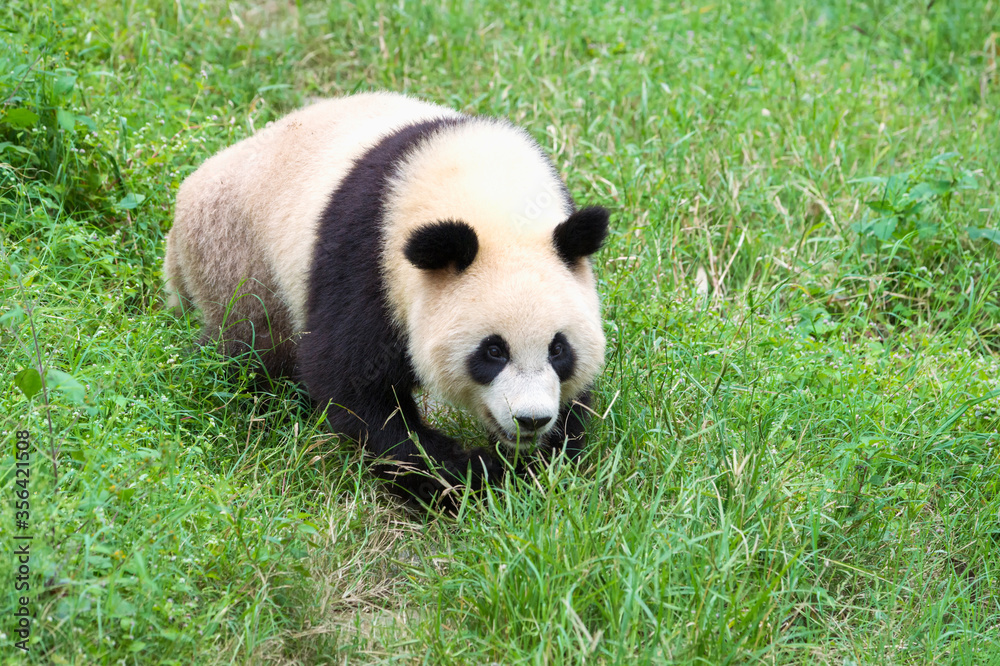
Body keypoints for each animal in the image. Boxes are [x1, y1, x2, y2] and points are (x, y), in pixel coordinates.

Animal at [163, 92, 609, 505]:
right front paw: (470, 475)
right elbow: (352, 383)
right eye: (493, 351)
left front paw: (541, 464)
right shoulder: (366, 257)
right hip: (238, 258)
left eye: (558, 349)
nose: (531, 419)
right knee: (252, 348)